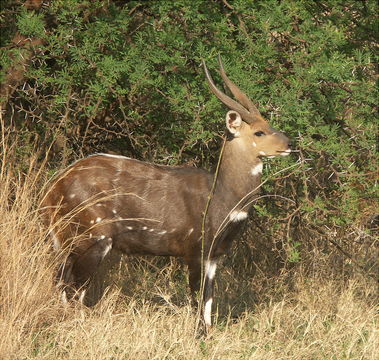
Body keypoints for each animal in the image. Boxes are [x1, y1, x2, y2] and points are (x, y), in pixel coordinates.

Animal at [40, 55, 290, 326]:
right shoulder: (196, 251)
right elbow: (198, 300)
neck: (221, 196)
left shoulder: (215, 256)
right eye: (259, 131)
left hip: (69, 244)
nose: (289, 144)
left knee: (62, 281)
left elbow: (209, 303)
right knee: (73, 288)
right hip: (92, 239)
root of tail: (52, 189)